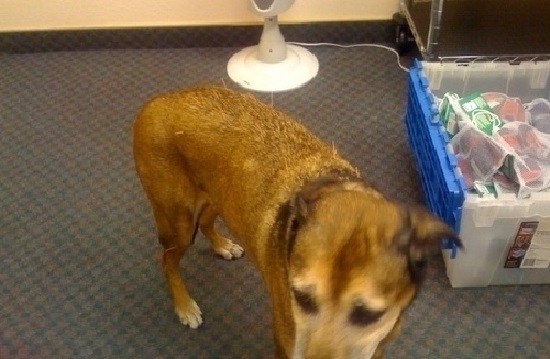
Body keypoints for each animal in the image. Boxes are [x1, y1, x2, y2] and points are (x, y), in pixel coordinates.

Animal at [134, 86, 462, 358]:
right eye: (302, 298)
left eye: (368, 315)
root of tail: (159, 101)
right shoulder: (285, 341)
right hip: (179, 222)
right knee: (167, 260)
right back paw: (184, 306)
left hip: (216, 195)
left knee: (204, 223)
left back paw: (222, 245)